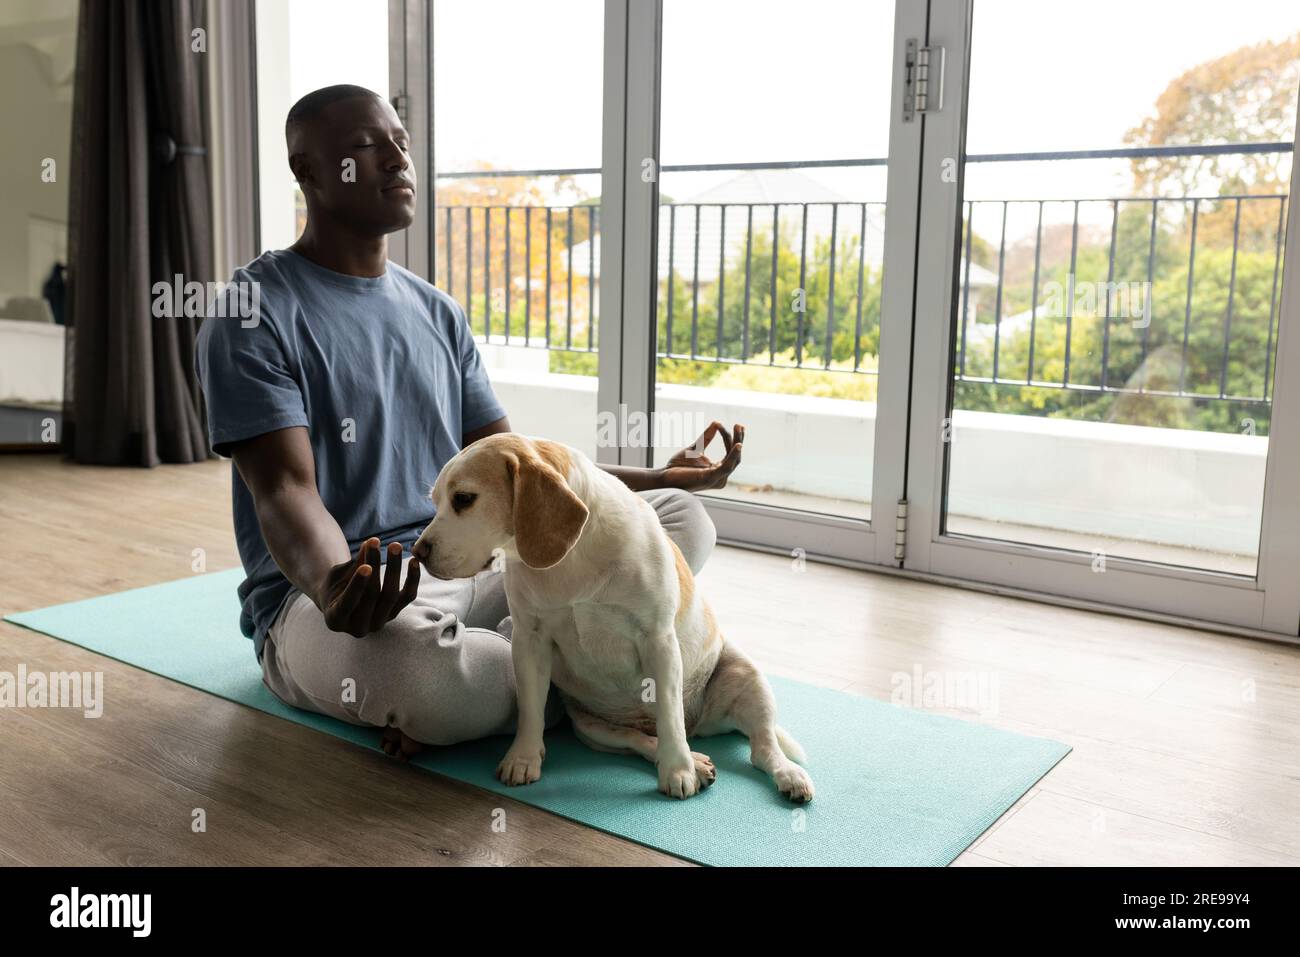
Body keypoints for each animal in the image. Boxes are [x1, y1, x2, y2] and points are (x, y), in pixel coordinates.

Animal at [410, 431, 811, 800]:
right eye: (435, 501)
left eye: (464, 499)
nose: (418, 551)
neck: (570, 559)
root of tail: (701, 725)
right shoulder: (528, 640)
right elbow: (530, 710)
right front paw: (523, 758)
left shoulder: (658, 641)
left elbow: (669, 714)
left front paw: (678, 770)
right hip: (593, 729)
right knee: (643, 742)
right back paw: (693, 761)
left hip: (748, 678)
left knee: (760, 748)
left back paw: (784, 774)